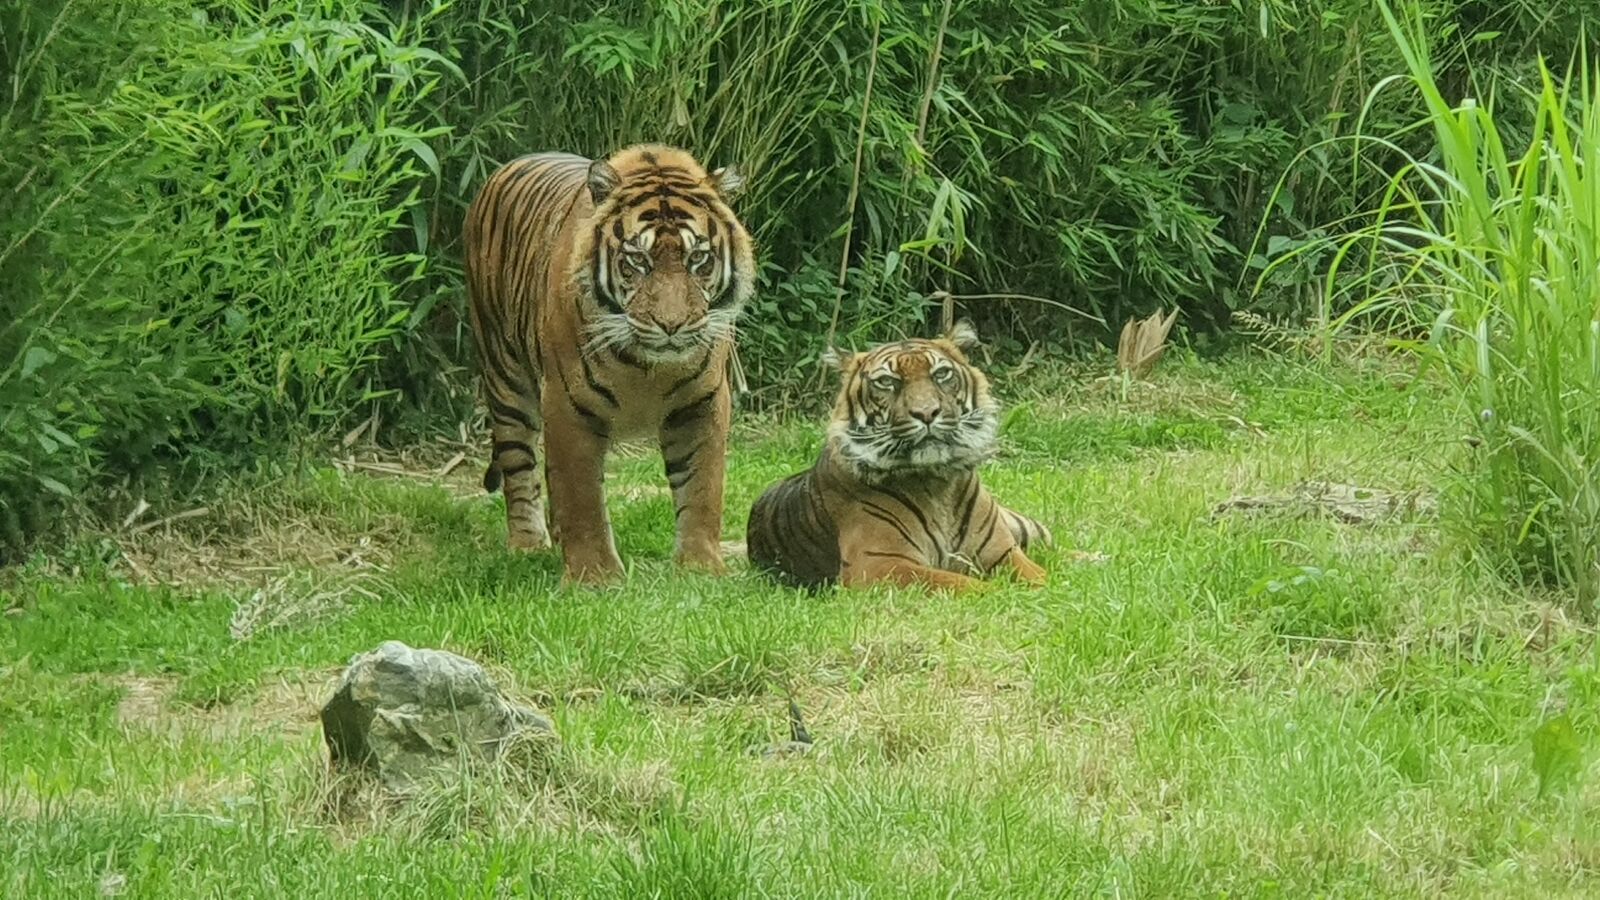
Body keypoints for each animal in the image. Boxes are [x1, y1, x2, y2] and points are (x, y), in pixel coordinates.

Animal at [463, 144, 755, 585]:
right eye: (637, 260)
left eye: (698, 258)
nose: (671, 325)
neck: (647, 368)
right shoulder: (566, 403)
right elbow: (581, 494)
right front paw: (594, 577)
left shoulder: (702, 401)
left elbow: (703, 486)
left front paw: (700, 567)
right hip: (505, 376)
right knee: (519, 465)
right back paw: (528, 545)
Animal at [745, 322, 1051, 592]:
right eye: (887, 382)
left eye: (941, 374)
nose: (927, 413)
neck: (937, 482)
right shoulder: (880, 564)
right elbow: (962, 584)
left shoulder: (1002, 552)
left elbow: (1042, 577)